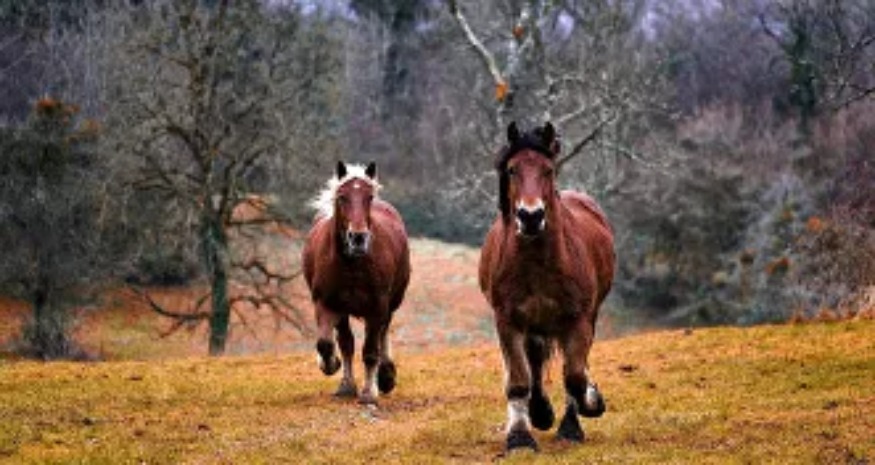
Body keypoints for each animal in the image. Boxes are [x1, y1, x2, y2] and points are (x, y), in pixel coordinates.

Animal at [302, 161, 411, 405]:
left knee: (383, 333)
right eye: (342, 197)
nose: (358, 238)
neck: (352, 264)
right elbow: (330, 344)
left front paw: (370, 392)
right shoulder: (327, 304)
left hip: (390, 304)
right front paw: (335, 371)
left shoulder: (377, 307)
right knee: (346, 342)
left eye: (369, 197)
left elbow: (370, 350)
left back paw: (386, 376)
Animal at [479, 122, 615, 452]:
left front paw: (588, 407)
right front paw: (520, 436)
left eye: (548, 170)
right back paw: (539, 412)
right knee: (535, 362)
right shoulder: (508, 321)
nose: (531, 217)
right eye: (512, 170)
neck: (538, 263)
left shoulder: (578, 320)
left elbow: (575, 376)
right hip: (535, 325)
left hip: (584, 318)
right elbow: (519, 379)